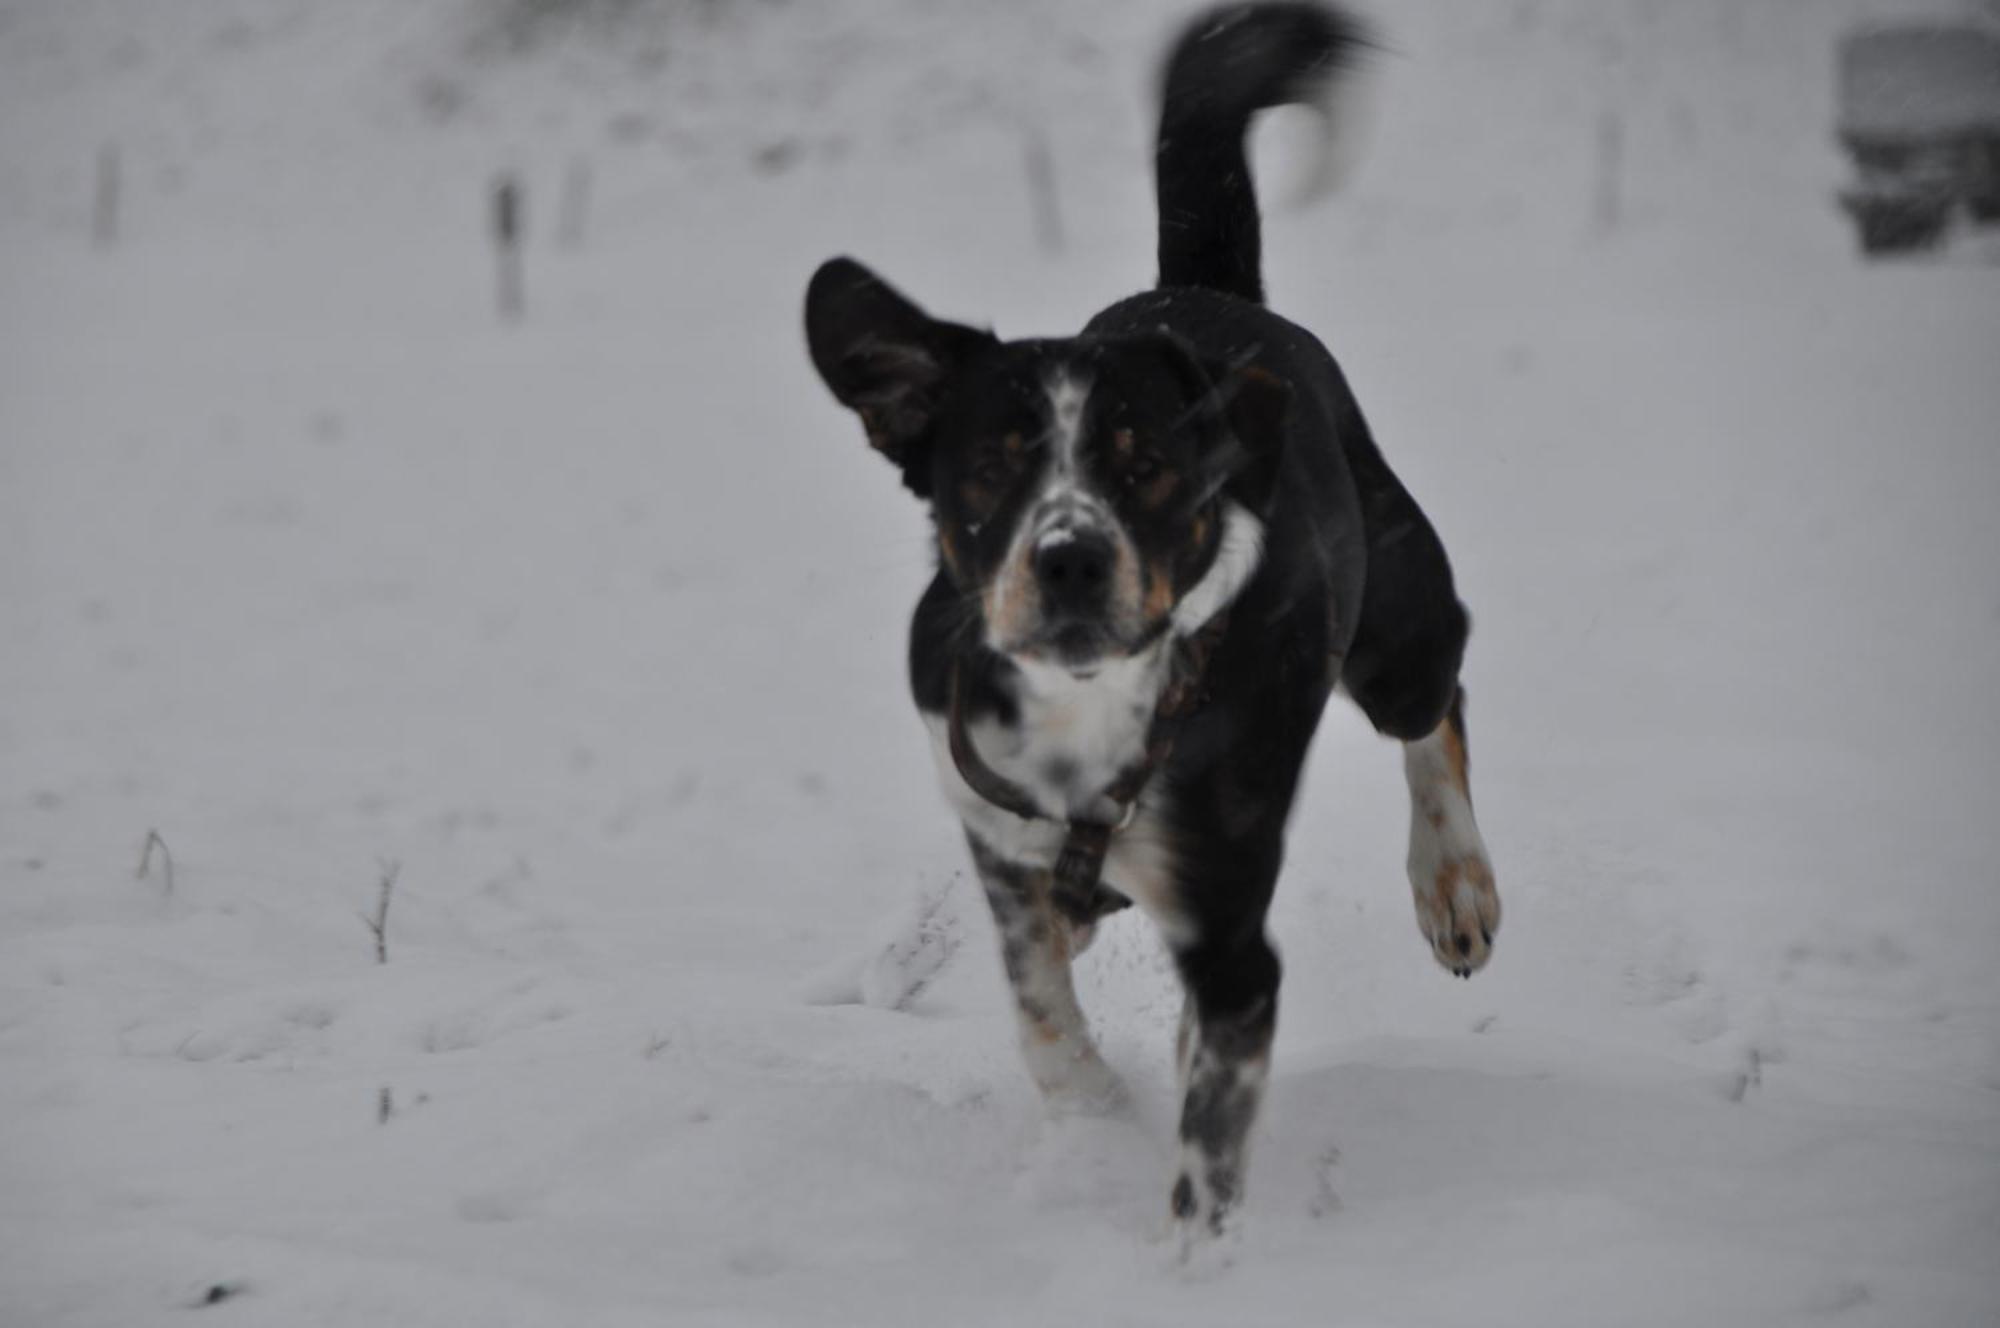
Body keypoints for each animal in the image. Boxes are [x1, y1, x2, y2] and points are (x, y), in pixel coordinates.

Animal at [804, 0, 1496, 1240]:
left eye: (1146, 466)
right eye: (989, 468)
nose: (1070, 558)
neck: (1090, 714)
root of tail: (1209, 295)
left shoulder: (1224, 909)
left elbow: (1208, 1102)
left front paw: (1187, 1237)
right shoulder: (995, 834)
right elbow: (1036, 996)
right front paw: (1089, 1108)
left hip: (1396, 623)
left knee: (1438, 695)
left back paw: (1453, 882)